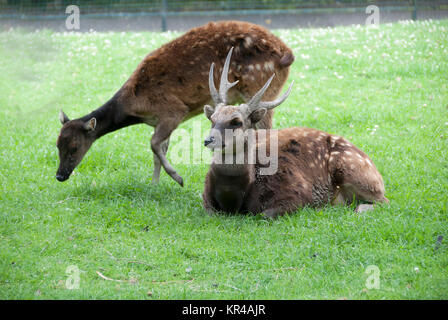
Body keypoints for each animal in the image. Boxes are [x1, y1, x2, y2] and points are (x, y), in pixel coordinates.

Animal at [55, 20, 294, 185]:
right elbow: (158, 151)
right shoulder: (159, 120)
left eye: (74, 147)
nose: (59, 175)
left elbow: (153, 144)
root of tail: (287, 54)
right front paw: (154, 185)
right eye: (57, 144)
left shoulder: (172, 111)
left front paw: (177, 178)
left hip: (261, 89)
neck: (134, 105)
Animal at [203, 50, 388, 219]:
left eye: (237, 122)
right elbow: (210, 212)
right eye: (212, 119)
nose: (208, 140)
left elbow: (265, 214)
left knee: (383, 201)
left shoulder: (297, 192)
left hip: (353, 169)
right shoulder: (205, 199)